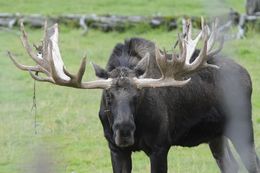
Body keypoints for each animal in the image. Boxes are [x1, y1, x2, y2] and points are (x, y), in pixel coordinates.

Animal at [8, 18, 260, 172]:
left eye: (139, 95)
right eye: (108, 95)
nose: (125, 131)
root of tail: (246, 74)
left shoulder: (160, 147)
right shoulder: (115, 149)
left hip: (243, 126)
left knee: (252, 163)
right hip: (216, 135)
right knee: (230, 165)